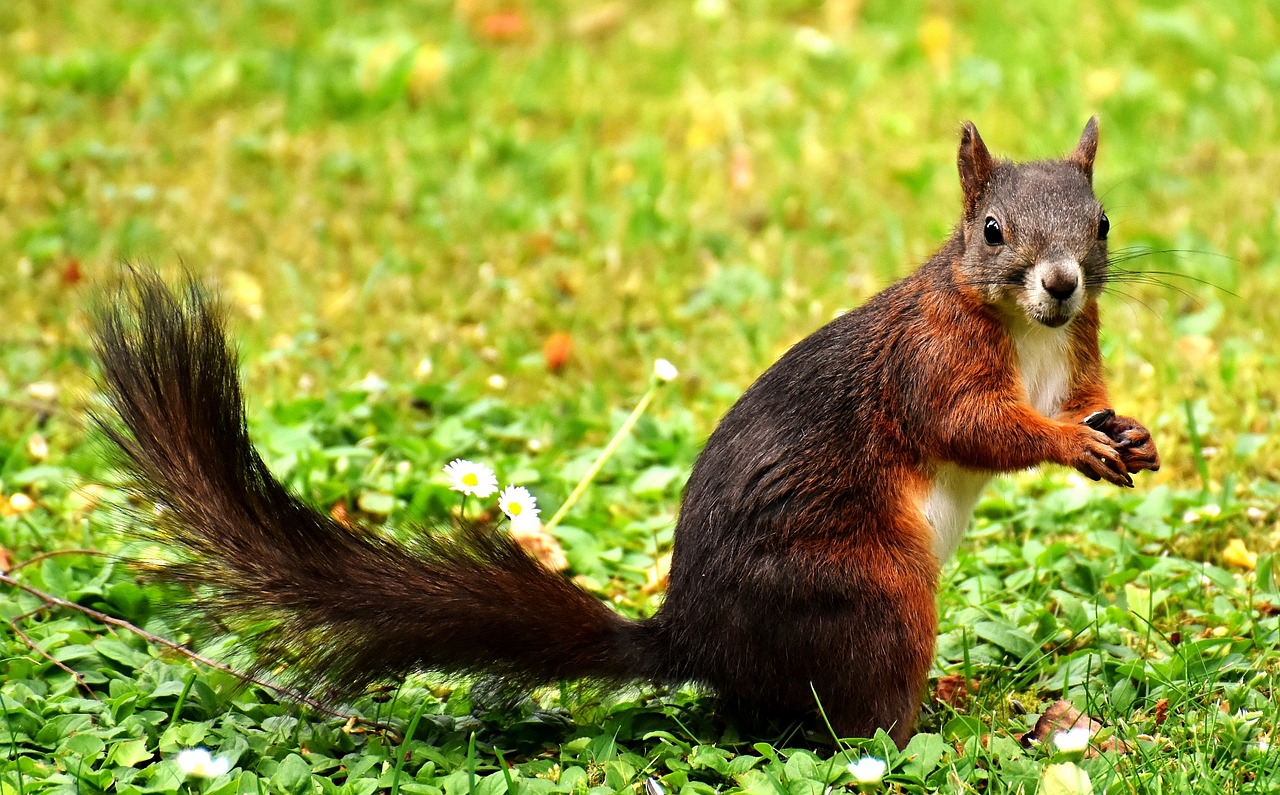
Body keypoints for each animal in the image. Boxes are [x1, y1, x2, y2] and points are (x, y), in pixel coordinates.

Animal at [92, 117, 1162, 742]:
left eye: (1103, 221)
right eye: (991, 229)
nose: (1061, 283)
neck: (1027, 331)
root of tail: (695, 641)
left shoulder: (1074, 359)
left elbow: (1080, 399)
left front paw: (1133, 436)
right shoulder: (930, 362)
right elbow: (977, 426)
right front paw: (1071, 445)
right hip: (870, 587)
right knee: (851, 724)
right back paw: (940, 719)